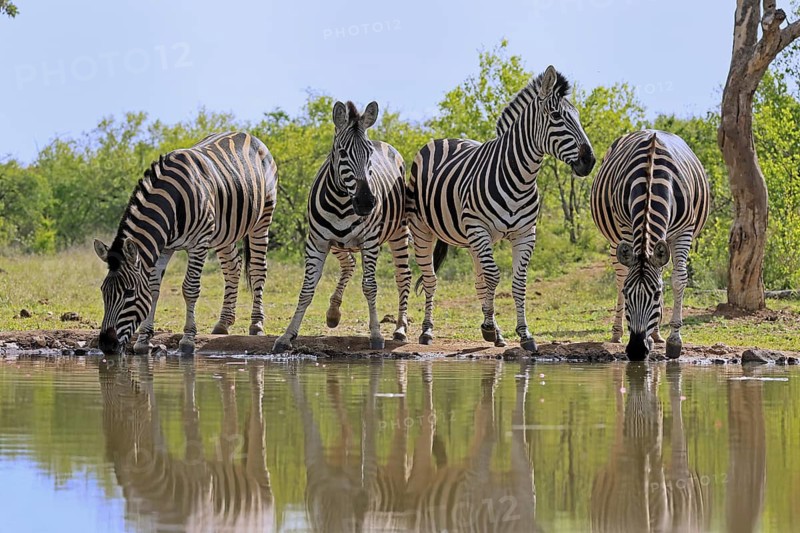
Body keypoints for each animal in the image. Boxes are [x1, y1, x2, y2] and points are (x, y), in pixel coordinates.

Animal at [93, 132, 278, 355]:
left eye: (129, 293)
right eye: (103, 291)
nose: (106, 345)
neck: (172, 202)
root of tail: (245, 134)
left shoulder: (198, 243)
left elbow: (190, 288)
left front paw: (188, 339)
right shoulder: (163, 247)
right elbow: (153, 289)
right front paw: (144, 340)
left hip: (262, 219)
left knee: (258, 270)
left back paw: (256, 325)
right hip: (225, 231)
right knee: (233, 267)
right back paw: (223, 324)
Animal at [272, 101, 410, 353]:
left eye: (370, 154)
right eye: (342, 153)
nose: (366, 202)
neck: (342, 202)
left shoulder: (370, 242)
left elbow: (370, 286)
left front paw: (376, 334)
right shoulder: (316, 242)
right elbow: (307, 289)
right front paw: (287, 335)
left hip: (399, 232)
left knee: (403, 276)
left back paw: (400, 329)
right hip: (338, 244)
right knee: (349, 264)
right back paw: (333, 313)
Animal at [407, 66, 595, 352]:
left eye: (578, 117)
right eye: (556, 116)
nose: (590, 161)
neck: (521, 178)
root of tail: (444, 139)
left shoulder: (525, 234)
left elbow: (517, 282)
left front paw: (522, 334)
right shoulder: (479, 228)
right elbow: (494, 276)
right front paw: (487, 327)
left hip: (471, 240)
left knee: (478, 280)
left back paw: (495, 332)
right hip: (424, 230)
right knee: (431, 279)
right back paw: (427, 330)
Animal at [590, 130, 709, 360]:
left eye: (657, 294)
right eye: (628, 294)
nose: (636, 350)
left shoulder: (684, 231)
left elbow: (679, 279)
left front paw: (674, 339)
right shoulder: (626, 226)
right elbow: (624, 279)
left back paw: (656, 334)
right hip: (615, 239)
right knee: (620, 275)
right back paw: (618, 333)